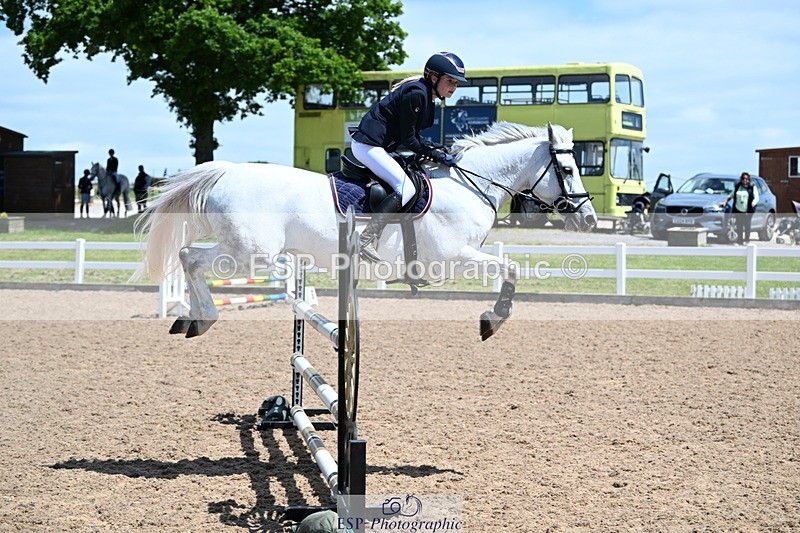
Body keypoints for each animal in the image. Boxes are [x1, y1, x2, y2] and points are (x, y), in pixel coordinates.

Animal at [134, 122, 597, 340]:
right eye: (568, 169)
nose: (588, 219)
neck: (469, 184)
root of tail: (226, 172)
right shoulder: (453, 259)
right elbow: (511, 269)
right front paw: (492, 320)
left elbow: (510, 268)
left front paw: (493, 317)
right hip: (247, 253)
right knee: (190, 257)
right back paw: (202, 319)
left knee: (188, 257)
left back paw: (191, 319)